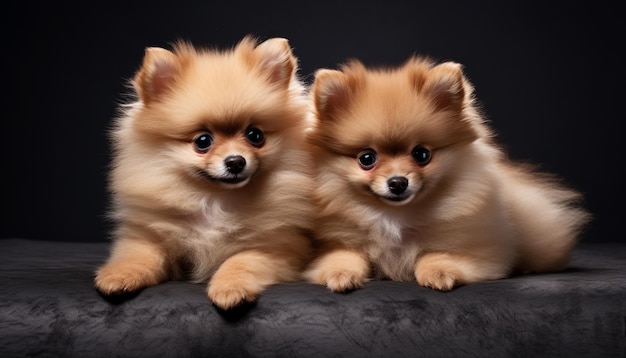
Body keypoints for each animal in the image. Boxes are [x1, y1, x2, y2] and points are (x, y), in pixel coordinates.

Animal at [94, 37, 314, 310]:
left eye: (255, 135)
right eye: (203, 141)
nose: (235, 162)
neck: (214, 200)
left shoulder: (277, 247)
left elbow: (240, 262)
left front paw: (230, 289)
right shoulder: (150, 236)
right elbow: (140, 255)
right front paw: (119, 276)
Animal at [304, 56, 588, 290]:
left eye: (421, 155)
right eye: (367, 159)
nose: (398, 182)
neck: (395, 218)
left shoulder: (481, 250)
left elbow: (434, 254)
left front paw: (439, 273)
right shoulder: (339, 242)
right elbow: (345, 255)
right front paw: (340, 274)